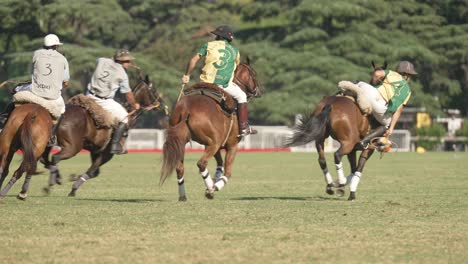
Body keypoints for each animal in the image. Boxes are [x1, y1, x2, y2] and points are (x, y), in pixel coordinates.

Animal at [160, 60, 264, 200]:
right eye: (254, 73)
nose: (258, 91)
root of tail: (187, 108)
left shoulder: (215, 145)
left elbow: (220, 164)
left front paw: (214, 180)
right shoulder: (231, 145)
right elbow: (228, 172)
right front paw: (215, 186)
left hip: (183, 141)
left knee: (179, 167)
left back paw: (183, 195)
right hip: (213, 143)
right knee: (201, 163)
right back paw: (210, 189)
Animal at [286, 63, 388, 201]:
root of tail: (329, 105)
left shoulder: (353, 149)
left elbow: (354, 167)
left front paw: (344, 185)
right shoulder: (369, 146)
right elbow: (358, 168)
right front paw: (351, 192)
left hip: (320, 139)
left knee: (322, 160)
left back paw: (330, 185)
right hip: (348, 142)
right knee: (337, 155)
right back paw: (340, 185)